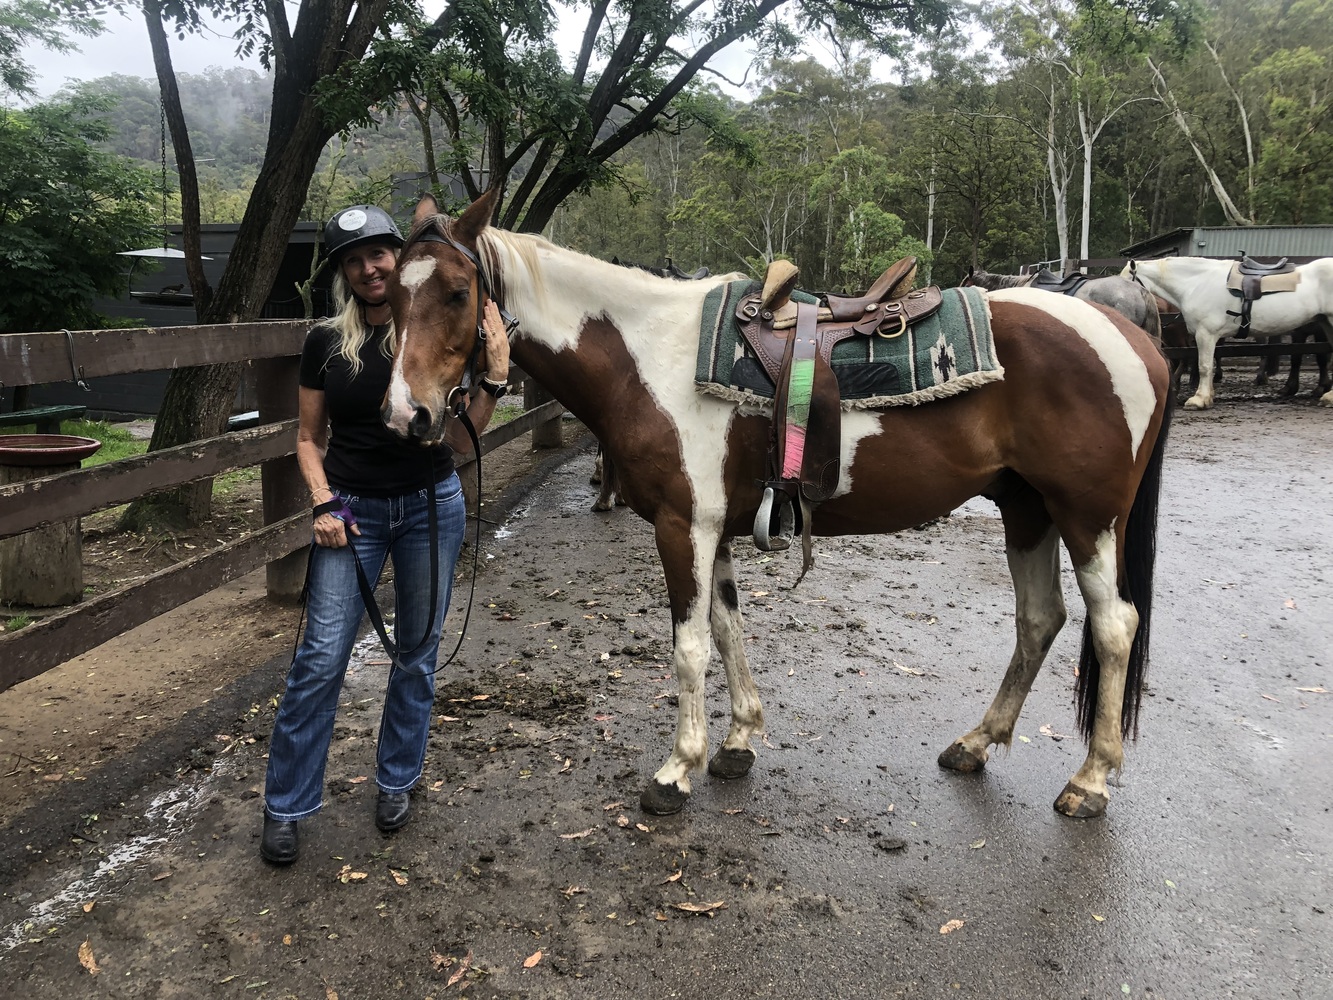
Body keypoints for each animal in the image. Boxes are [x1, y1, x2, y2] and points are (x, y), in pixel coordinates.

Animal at [1122, 256, 1333, 410]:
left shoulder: (1205, 334)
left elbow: (1204, 366)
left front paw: (1199, 400)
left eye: (1125, 279)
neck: (1196, 283)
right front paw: (1208, 396)